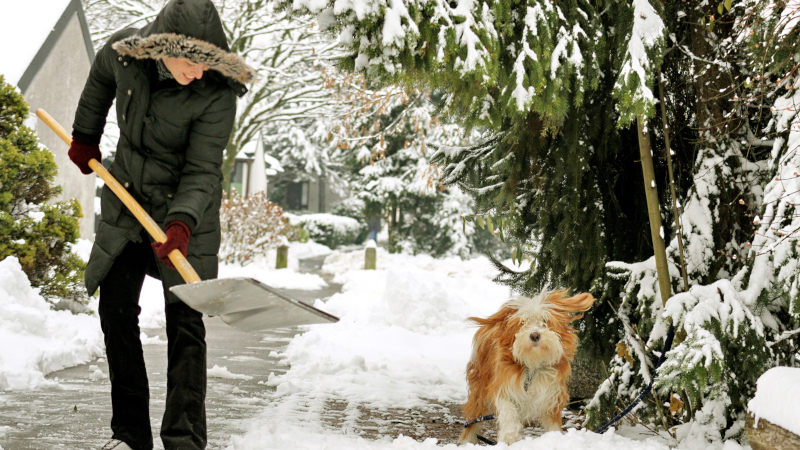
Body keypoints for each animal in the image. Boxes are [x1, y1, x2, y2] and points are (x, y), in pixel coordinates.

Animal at [456, 290, 592, 444]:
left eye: (545, 321)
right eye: (523, 322)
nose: (534, 335)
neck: (532, 366)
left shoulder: (552, 394)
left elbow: (552, 422)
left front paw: (554, 438)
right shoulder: (504, 386)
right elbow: (508, 412)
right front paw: (509, 438)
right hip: (479, 390)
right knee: (472, 419)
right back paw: (466, 441)